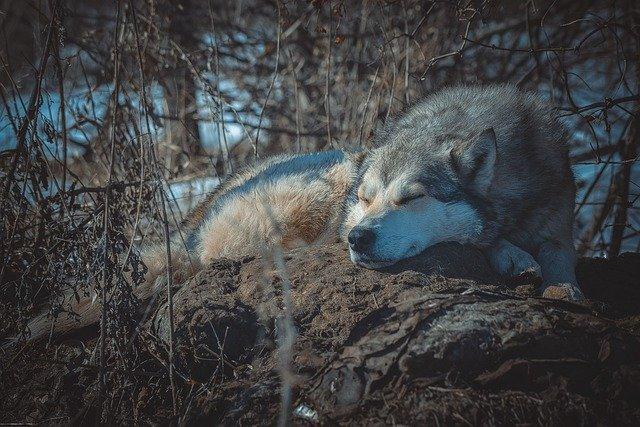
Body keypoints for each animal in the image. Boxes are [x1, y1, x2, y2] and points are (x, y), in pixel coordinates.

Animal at [15, 83, 582, 345]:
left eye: (409, 199)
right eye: (367, 198)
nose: (359, 238)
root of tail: (193, 224)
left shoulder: (558, 217)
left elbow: (562, 261)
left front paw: (559, 283)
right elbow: (489, 238)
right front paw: (513, 258)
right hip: (320, 190)